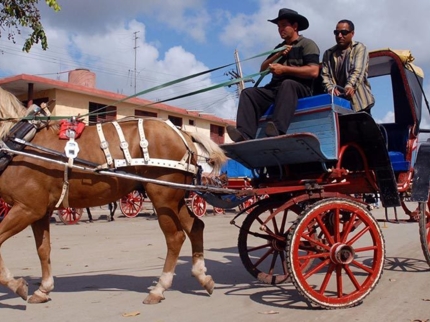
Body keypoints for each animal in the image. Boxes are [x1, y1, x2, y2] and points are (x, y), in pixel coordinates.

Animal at [0, 87, 228, 304]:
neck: (20, 143)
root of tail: (182, 133)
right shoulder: (39, 211)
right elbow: (43, 249)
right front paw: (43, 289)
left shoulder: (27, 208)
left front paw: (16, 285)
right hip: (175, 198)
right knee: (195, 227)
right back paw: (202, 277)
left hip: (162, 196)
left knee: (175, 237)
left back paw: (159, 288)